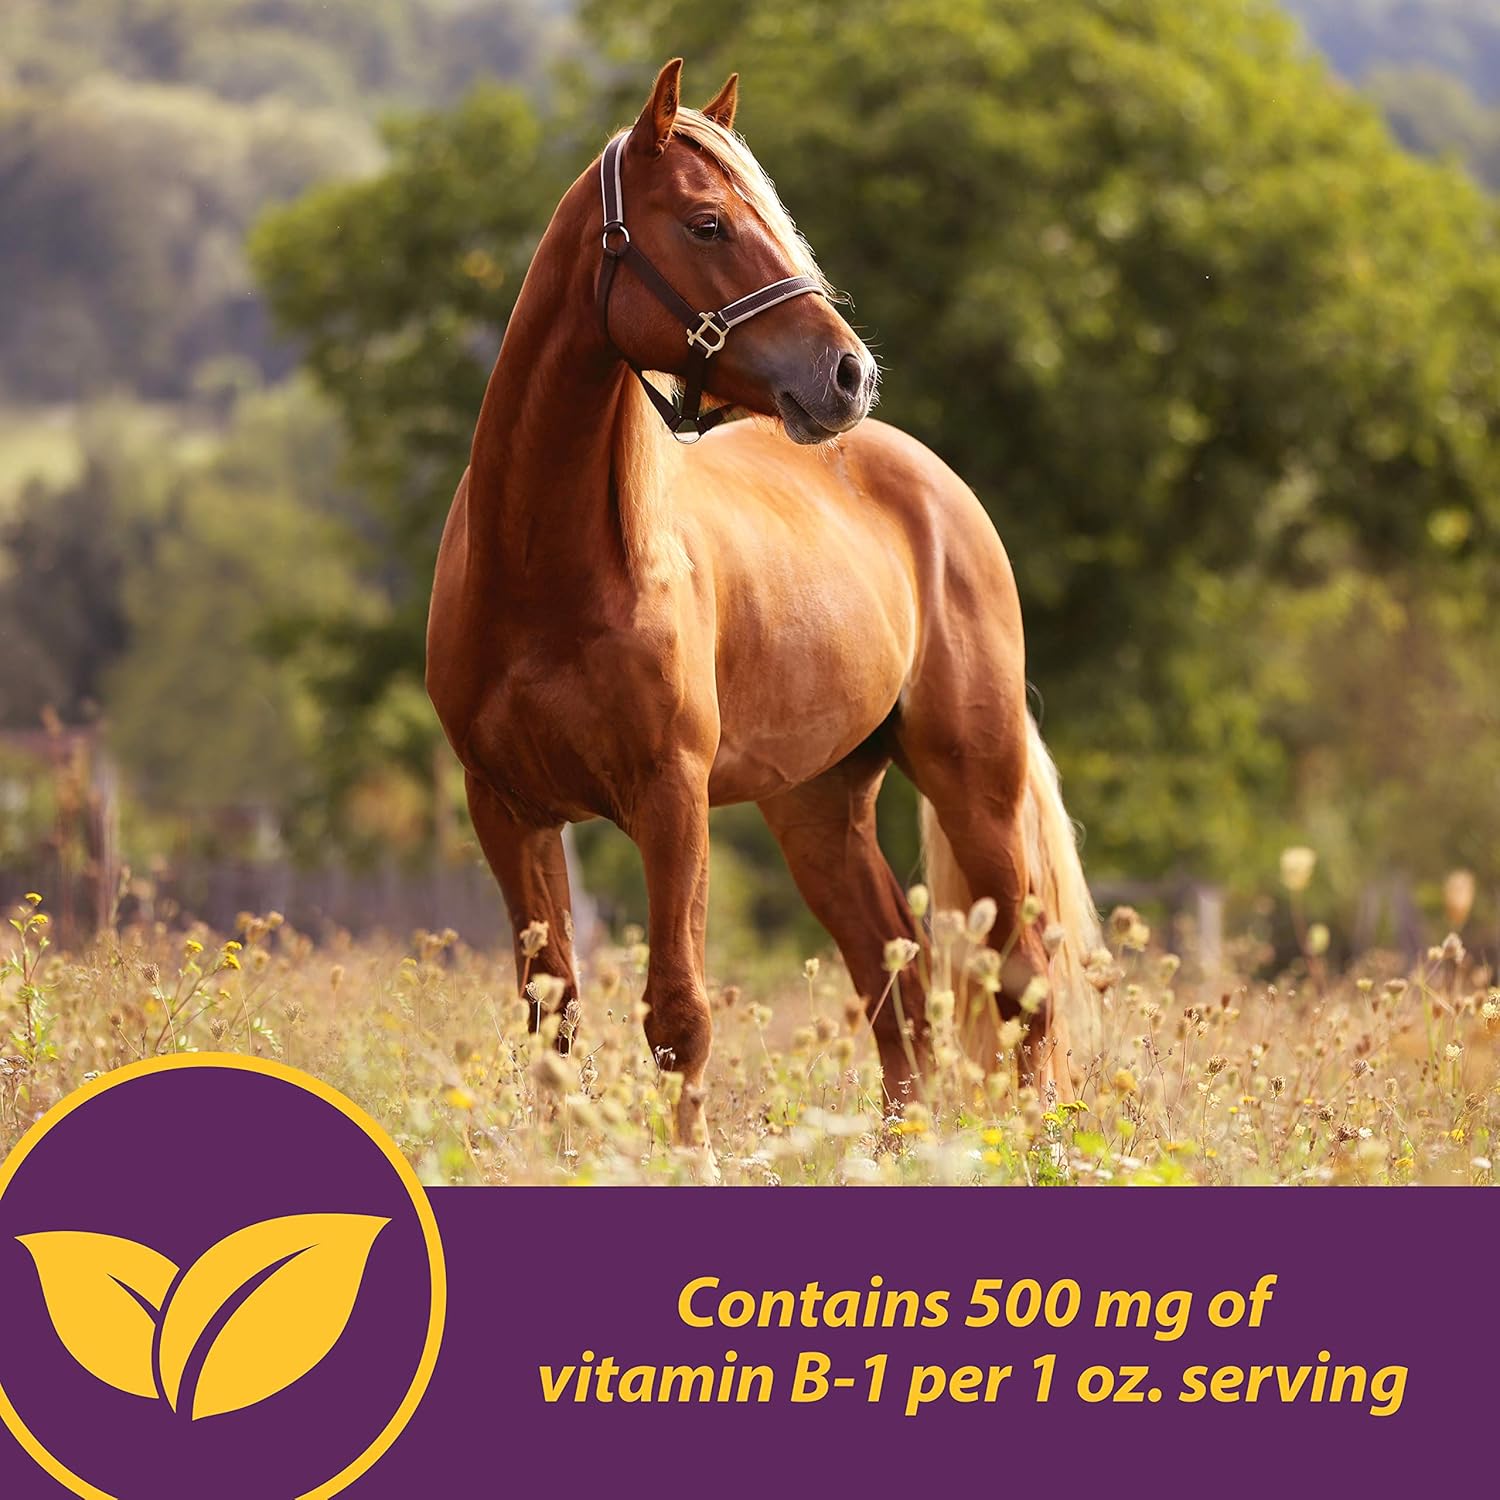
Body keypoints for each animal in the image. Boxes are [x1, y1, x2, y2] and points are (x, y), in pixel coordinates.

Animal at [426, 59, 1101, 1157]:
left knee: (1022, 972)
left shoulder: (670, 799)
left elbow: (678, 1012)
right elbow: (551, 1015)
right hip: (819, 806)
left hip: (976, 783)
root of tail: (936, 485)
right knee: (896, 979)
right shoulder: (508, 810)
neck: (542, 573)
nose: (849, 373)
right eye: (706, 224)